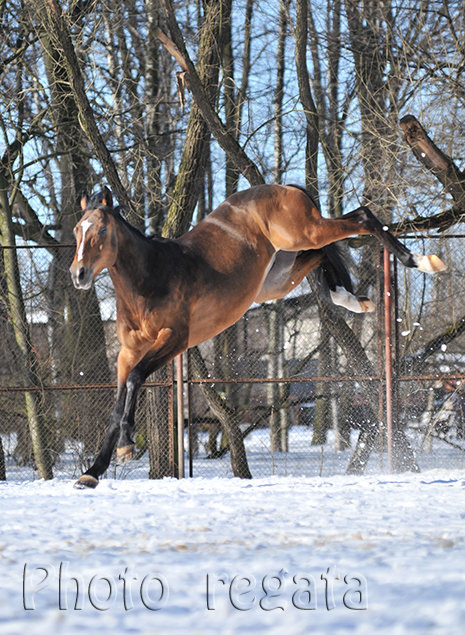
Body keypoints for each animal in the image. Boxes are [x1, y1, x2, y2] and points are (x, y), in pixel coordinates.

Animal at [70, 181, 446, 490]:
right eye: (77, 229)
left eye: (101, 228)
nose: (78, 274)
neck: (151, 277)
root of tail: (287, 187)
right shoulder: (127, 352)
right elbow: (118, 402)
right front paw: (93, 470)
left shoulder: (174, 339)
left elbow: (135, 380)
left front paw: (125, 446)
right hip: (280, 274)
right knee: (322, 254)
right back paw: (351, 299)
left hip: (304, 234)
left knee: (363, 218)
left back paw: (423, 261)